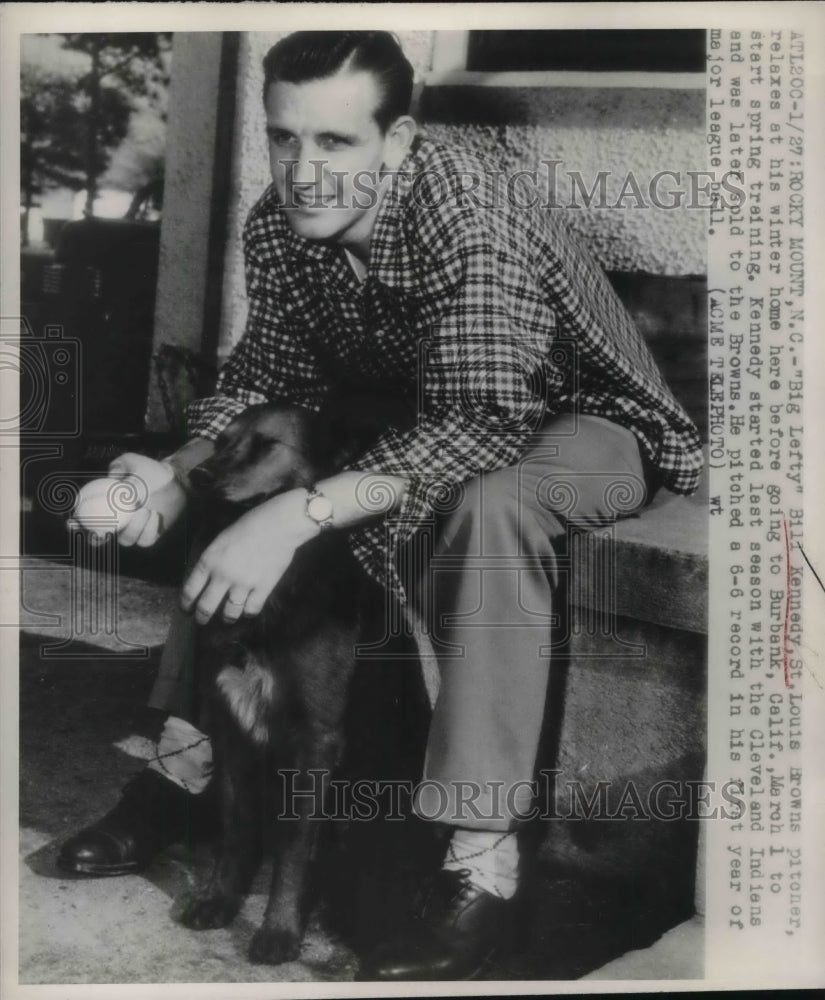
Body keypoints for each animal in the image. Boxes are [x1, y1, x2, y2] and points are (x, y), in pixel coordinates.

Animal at [177, 394, 408, 964]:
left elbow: (296, 849)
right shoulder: (230, 722)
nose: (199, 476)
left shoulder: (316, 741)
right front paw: (221, 899)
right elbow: (239, 827)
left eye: (267, 446)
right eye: (222, 441)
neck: (275, 590)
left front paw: (279, 927)